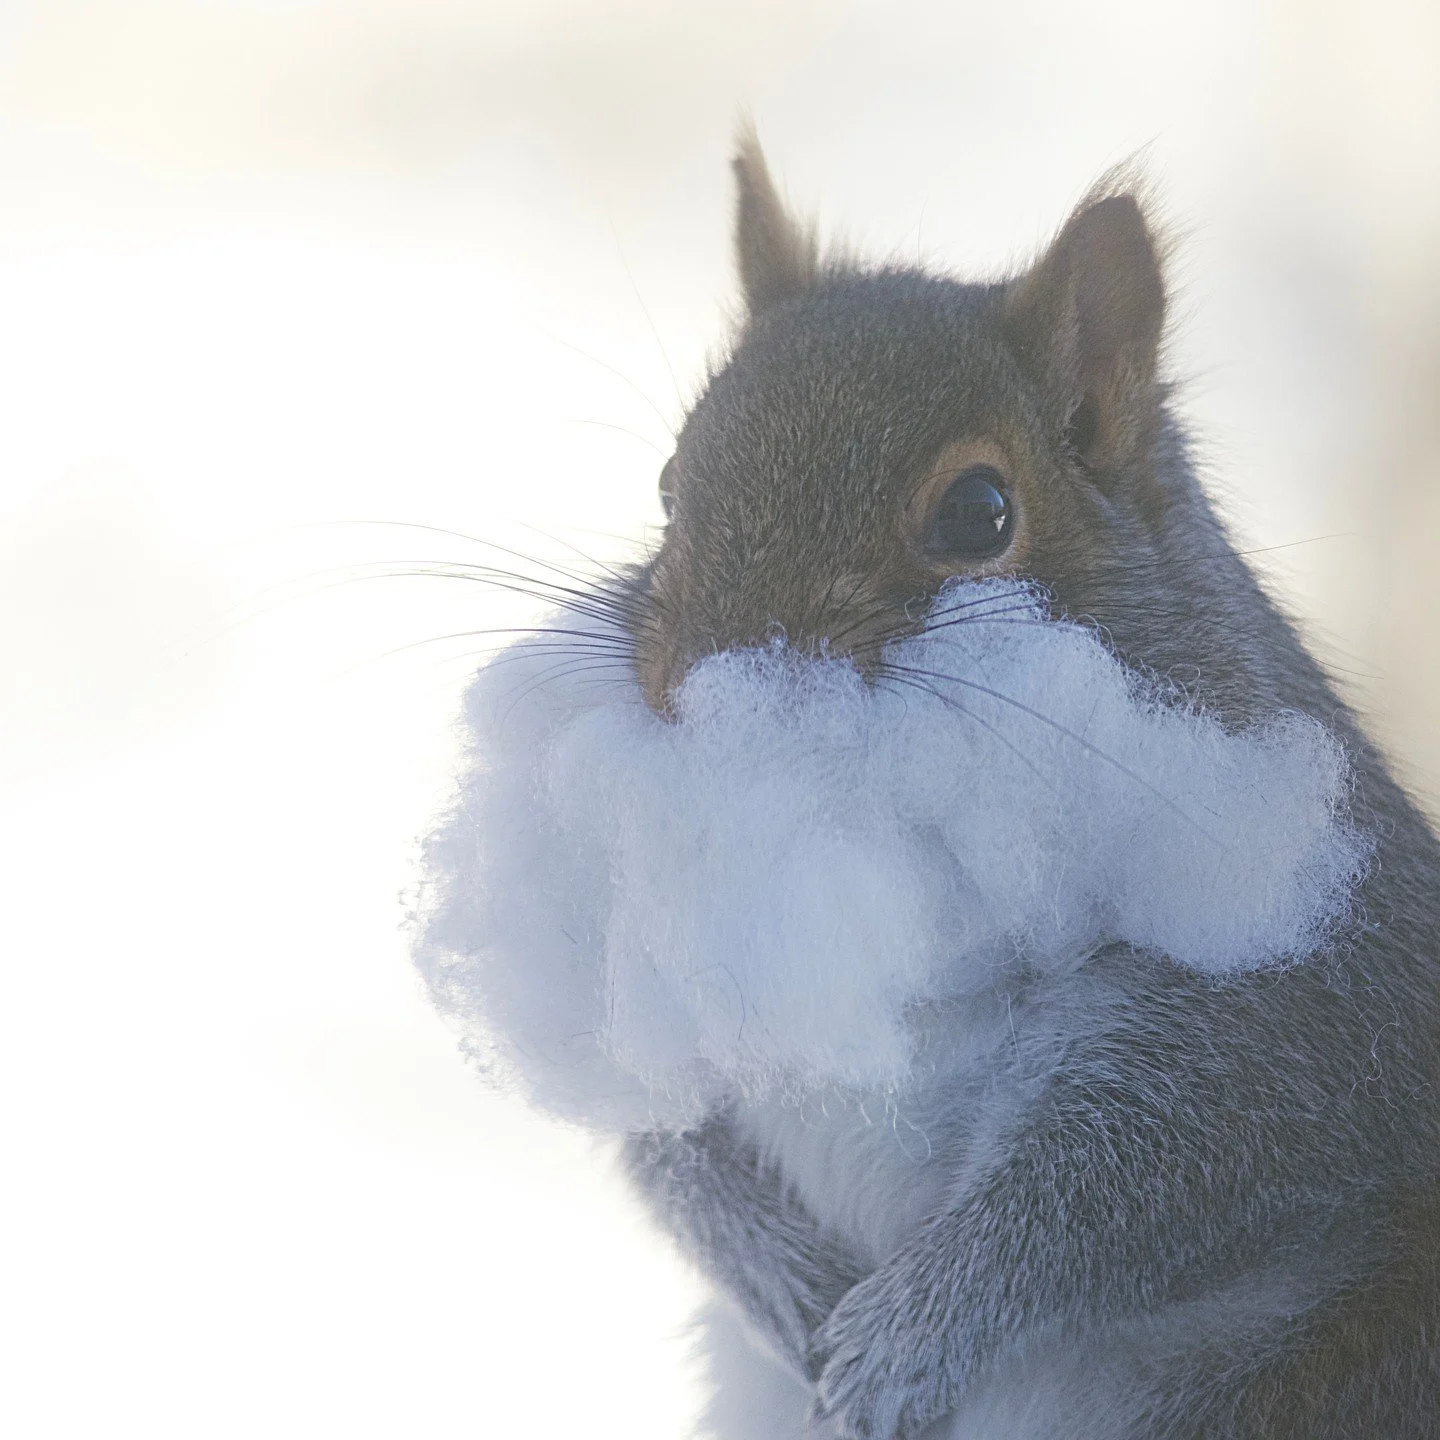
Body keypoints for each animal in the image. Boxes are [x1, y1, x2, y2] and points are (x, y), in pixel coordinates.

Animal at [606, 130, 1440, 1439]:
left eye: (979, 511)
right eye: (667, 486)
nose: (702, 696)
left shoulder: (1301, 1012)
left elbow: (1118, 1196)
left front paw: (900, 1339)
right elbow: (669, 1143)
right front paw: (780, 1279)